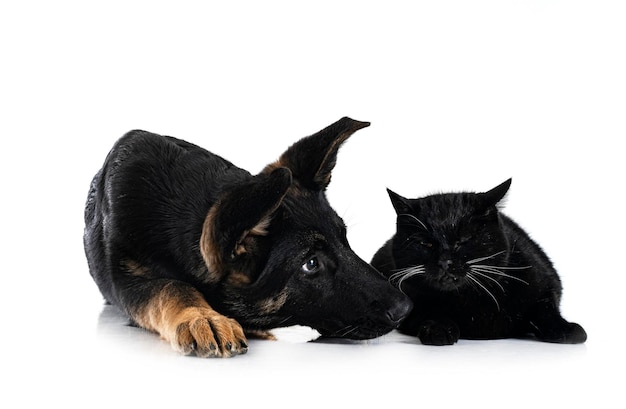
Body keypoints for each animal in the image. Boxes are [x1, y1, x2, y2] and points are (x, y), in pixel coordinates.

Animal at [84, 116, 414, 356]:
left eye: (344, 239)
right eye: (310, 264)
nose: (406, 308)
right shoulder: (126, 280)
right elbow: (169, 286)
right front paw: (202, 317)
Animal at [370, 178, 584, 344]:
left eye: (464, 239)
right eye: (425, 243)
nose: (445, 262)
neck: (470, 299)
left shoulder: (547, 280)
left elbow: (546, 306)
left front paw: (566, 329)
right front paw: (438, 327)